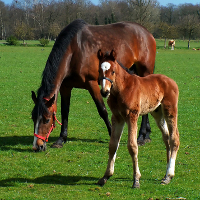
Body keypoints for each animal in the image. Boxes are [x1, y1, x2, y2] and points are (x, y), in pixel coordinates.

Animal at [30, 19, 156, 152]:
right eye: (33, 117)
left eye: (47, 119)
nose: (37, 146)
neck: (74, 49)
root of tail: (146, 33)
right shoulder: (65, 87)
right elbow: (65, 111)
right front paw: (61, 139)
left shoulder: (92, 84)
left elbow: (103, 110)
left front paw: (112, 134)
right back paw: (147, 134)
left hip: (145, 72)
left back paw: (141, 136)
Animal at [97, 49, 180, 188]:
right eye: (99, 70)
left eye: (112, 71)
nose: (104, 91)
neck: (122, 88)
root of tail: (171, 81)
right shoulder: (117, 118)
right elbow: (113, 145)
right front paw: (105, 176)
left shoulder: (132, 116)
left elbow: (132, 146)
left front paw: (136, 179)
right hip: (157, 113)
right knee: (166, 137)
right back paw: (166, 171)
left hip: (170, 110)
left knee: (174, 139)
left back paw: (169, 175)